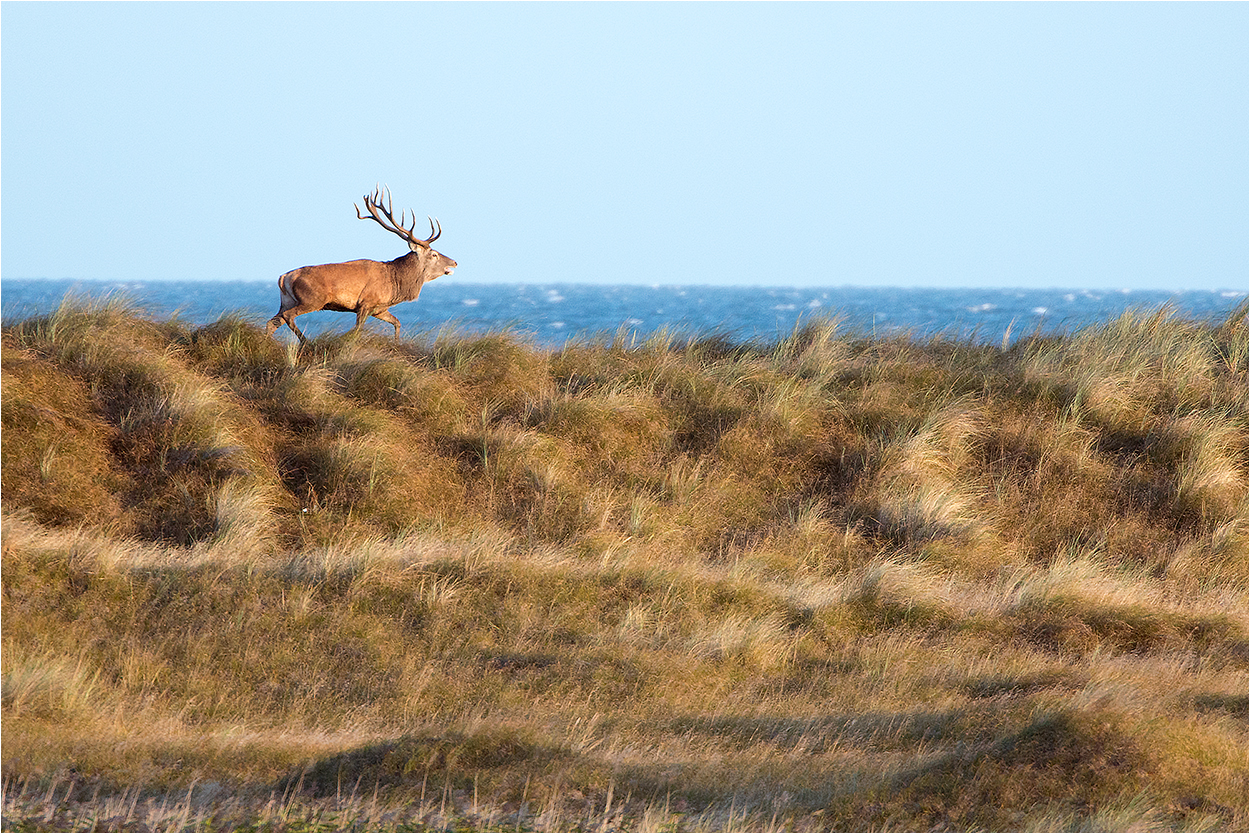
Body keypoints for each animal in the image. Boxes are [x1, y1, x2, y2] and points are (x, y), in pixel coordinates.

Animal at [266, 188, 457, 342]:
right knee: (288, 316)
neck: (396, 284)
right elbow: (357, 330)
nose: (455, 262)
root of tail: (284, 278)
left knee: (272, 322)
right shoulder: (366, 303)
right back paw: (307, 342)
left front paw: (397, 344)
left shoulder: (379, 308)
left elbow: (397, 323)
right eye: (434, 254)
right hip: (313, 299)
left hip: (287, 301)